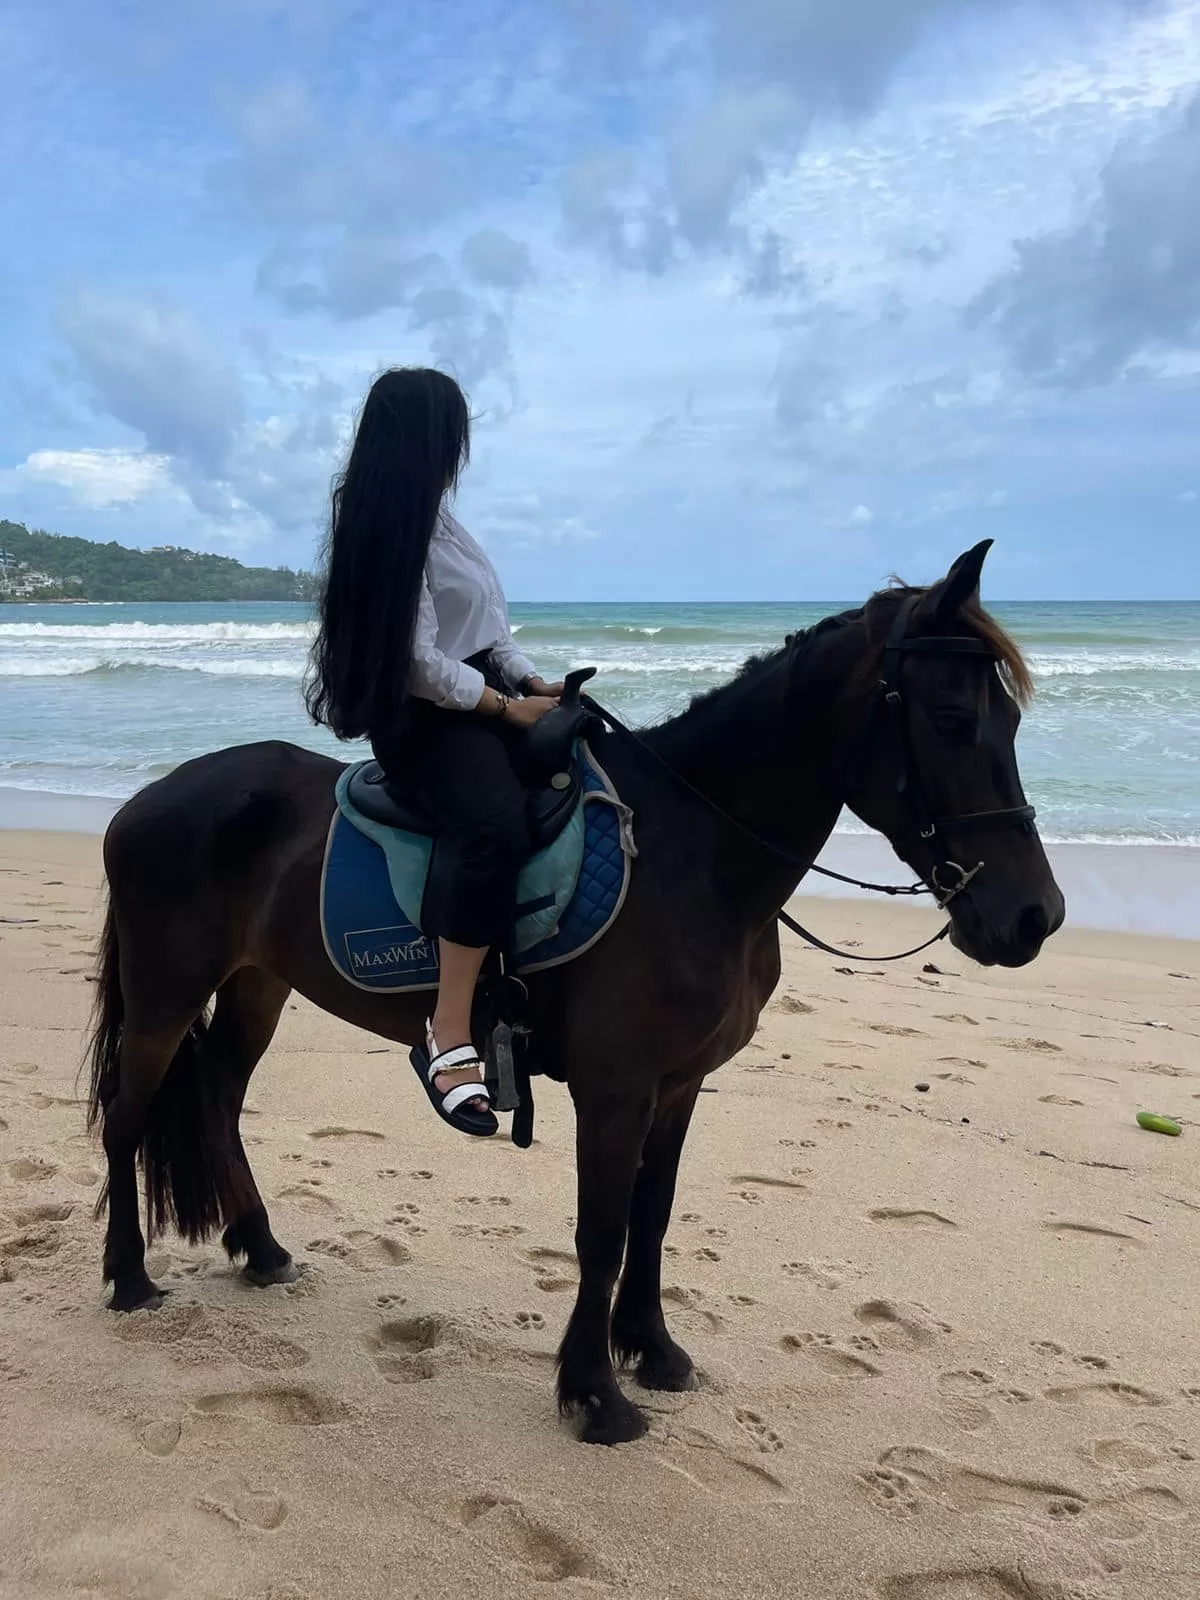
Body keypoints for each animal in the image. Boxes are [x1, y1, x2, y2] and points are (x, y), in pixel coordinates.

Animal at [84, 539, 1064, 1445]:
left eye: (1012, 720)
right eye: (951, 720)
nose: (1035, 917)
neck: (693, 852)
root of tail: (147, 801)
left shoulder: (680, 1084)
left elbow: (652, 1216)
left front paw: (652, 1349)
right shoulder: (615, 1088)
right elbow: (602, 1232)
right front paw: (595, 1393)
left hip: (258, 985)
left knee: (217, 1099)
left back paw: (261, 1248)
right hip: (165, 996)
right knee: (128, 1115)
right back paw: (129, 1276)